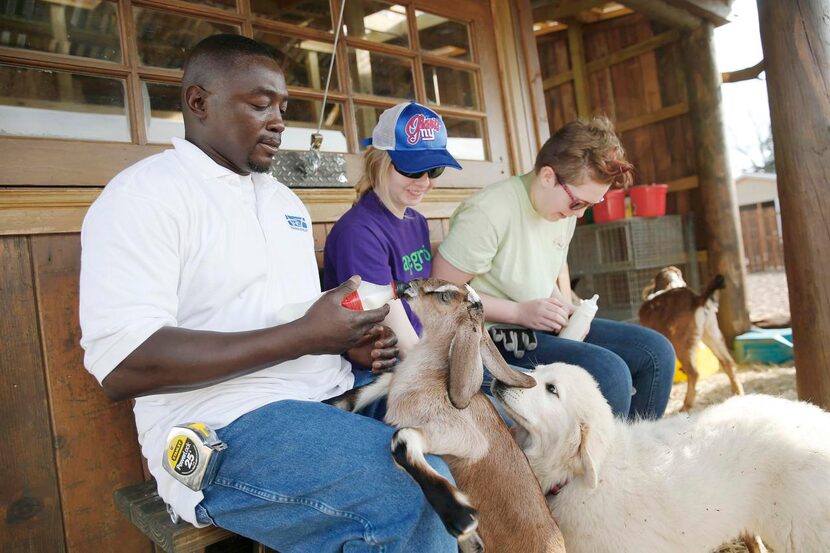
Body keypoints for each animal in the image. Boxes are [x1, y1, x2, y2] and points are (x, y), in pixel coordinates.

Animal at [328, 280, 568, 552]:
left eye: (444, 296)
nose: (404, 285)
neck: (424, 381)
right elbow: (363, 391)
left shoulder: (467, 439)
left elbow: (402, 437)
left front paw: (461, 518)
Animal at [640, 268, 744, 410]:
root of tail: (697, 300)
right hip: (711, 334)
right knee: (727, 362)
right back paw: (738, 392)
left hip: (682, 343)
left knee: (693, 373)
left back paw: (686, 406)